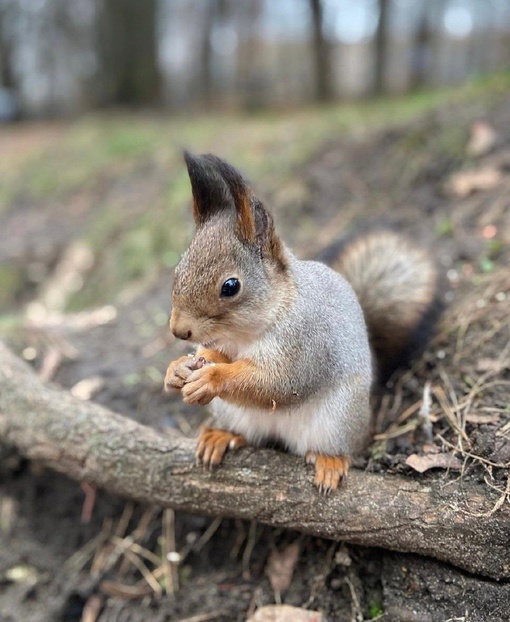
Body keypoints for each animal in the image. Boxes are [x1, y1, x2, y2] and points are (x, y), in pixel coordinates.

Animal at [163, 154, 438, 494]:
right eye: (178, 269)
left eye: (230, 286)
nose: (179, 331)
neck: (250, 330)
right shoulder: (223, 344)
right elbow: (217, 356)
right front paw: (177, 369)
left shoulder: (305, 343)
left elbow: (277, 383)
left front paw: (211, 378)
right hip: (236, 413)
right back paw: (221, 435)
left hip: (336, 420)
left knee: (341, 448)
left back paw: (330, 461)